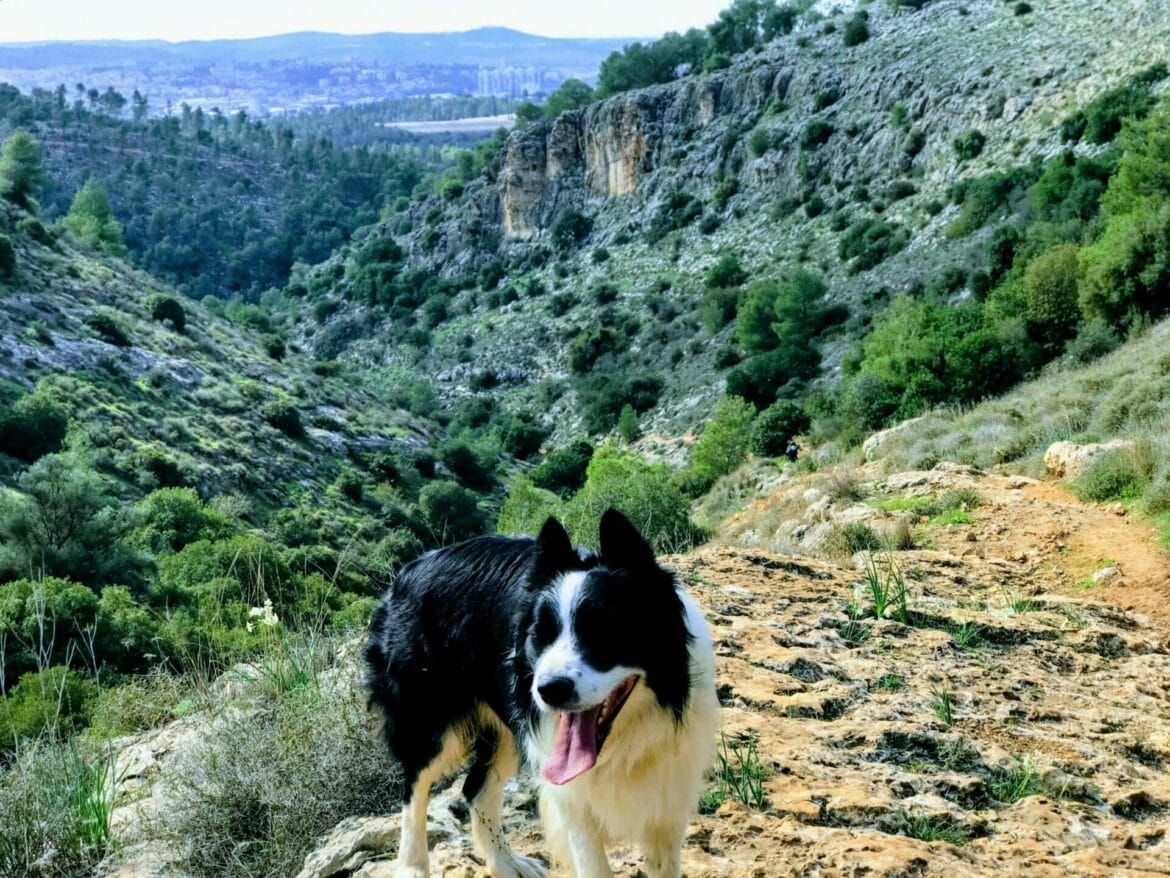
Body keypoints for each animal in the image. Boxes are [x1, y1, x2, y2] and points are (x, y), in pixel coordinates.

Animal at [365, 512, 716, 875]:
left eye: (604, 630)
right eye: (540, 634)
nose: (549, 691)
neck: (628, 738)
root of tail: (406, 571)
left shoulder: (670, 792)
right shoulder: (573, 795)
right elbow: (592, 860)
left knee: (475, 789)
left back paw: (507, 864)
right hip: (427, 717)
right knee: (415, 787)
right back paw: (413, 866)